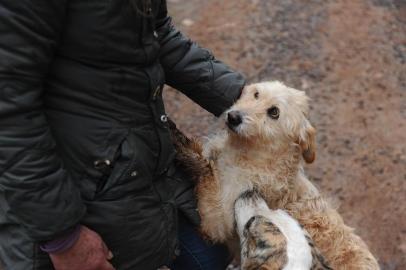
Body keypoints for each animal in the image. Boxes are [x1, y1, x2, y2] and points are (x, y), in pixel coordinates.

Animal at [170, 80, 380, 270]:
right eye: (256, 94)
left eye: (274, 112)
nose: (233, 117)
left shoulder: (216, 220)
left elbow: (206, 173)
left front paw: (180, 141)